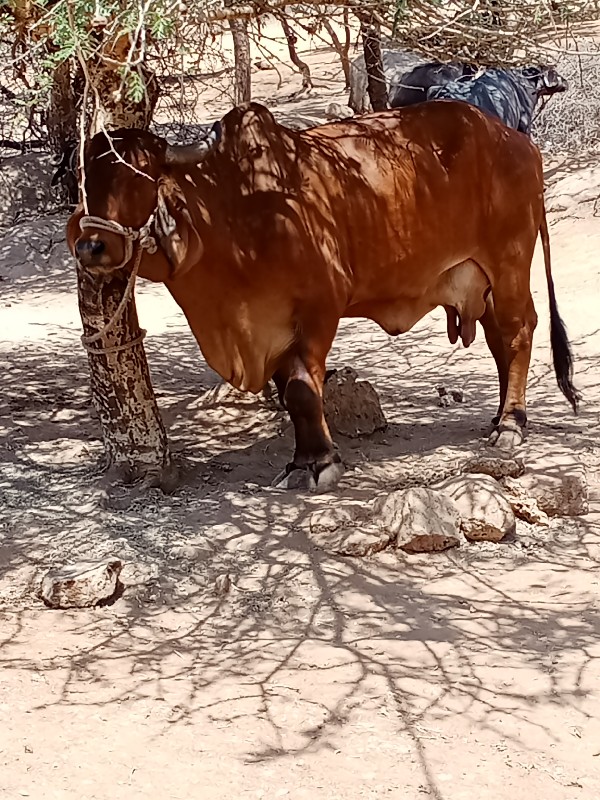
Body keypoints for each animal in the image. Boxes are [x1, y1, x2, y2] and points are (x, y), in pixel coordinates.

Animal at [68, 100, 580, 488]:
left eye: (138, 176)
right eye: (85, 179)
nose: (91, 245)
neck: (234, 214)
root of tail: (518, 141)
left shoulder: (318, 311)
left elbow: (301, 390)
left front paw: (319, 464)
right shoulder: (271, 329)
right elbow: (289, 391)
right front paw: (303, 458)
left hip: (509, 263)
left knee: (517, 334)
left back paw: (511, 424)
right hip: (483, 281)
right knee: (499, 341)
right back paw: (499, 416)